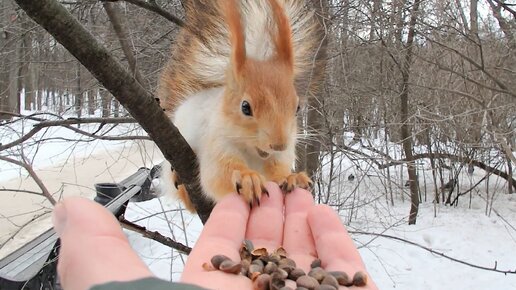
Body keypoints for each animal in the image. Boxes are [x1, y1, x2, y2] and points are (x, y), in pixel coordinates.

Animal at [158, 0, 318, 211]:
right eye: (245, 107)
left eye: (297, 107)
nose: (279, 145)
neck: (252, 150)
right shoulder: (217, 144)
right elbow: (218, 174)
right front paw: (247, 179)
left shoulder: (281, 155)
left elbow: (278, 169)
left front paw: (292, 177)